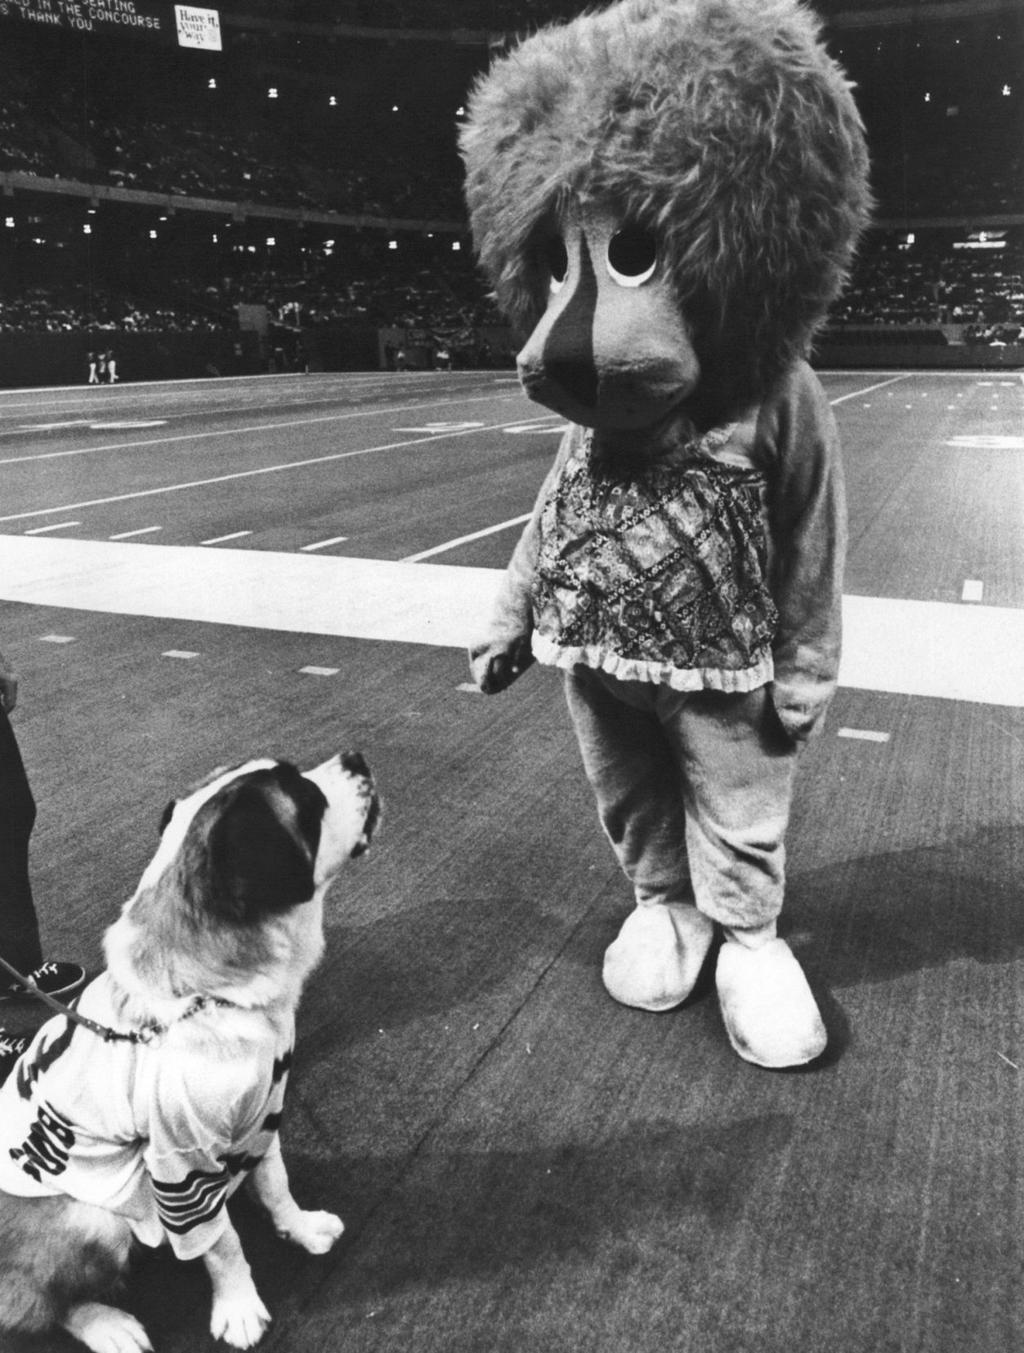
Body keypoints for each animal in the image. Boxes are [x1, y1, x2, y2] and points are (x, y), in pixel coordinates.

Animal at [0, 752, 378, 1353]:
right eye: (307, 798)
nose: (354, 758)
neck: (207, 993)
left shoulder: (262, 1116)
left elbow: (276, 1183)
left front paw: (298, 1227)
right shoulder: (180, 1163)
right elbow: (221, 1244)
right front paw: (238, 1306)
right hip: (91, 1221)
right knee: (34, 1304)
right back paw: (107, 1324)